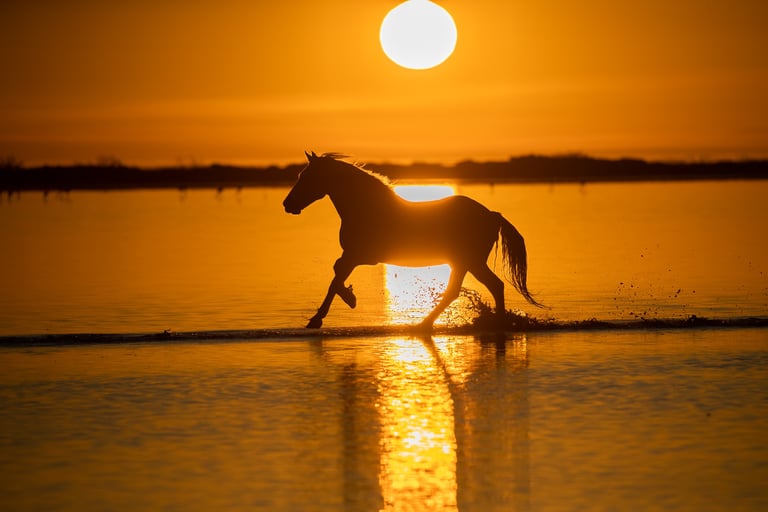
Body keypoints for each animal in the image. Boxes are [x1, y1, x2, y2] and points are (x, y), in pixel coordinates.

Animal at [283, 151, 543, 329]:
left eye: (307, 176)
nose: (287, 204)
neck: (367, 210)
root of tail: (491, 214)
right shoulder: (355, 256)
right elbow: (336, 273)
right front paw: (346, 299)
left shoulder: (360, 256)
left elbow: (335, 278)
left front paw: (324, 315)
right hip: (464, 262)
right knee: (468, 289)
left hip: (470, 261)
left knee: (489, 286)